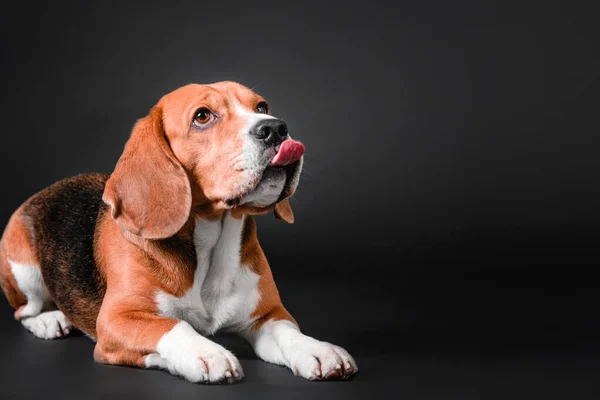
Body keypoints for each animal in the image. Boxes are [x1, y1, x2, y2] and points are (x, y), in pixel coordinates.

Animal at [0, 82, 356, 384]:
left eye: (261, 106)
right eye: (202, 116)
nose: (276, 128)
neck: (211, 245)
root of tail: (44, 191)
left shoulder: (267, 315)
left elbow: (288, 332)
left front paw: (317, 349)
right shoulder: (115, 321)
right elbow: (174, 324)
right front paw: (207, 353)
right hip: (23, 267)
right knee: (23, 311)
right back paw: (50, 320)